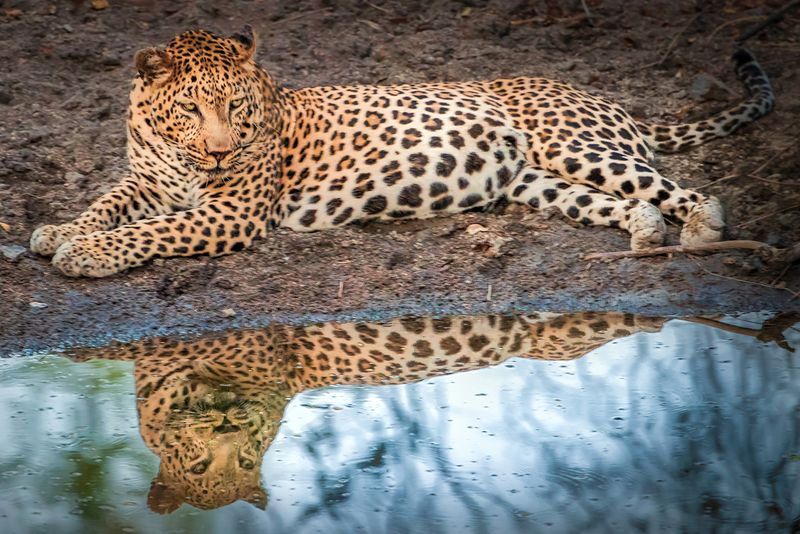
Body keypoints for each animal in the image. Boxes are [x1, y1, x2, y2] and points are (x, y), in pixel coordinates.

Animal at [29, 26, 774, 277]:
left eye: (237, 108)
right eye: (190, 109)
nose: (218, 153)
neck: (179, 156)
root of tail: (604, 97)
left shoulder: (230, 212)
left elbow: (154, 231)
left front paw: (86, 254)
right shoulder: (149, 182)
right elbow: (108, 203)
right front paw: (60, 231)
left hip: (571, 145)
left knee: (680, 189)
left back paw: (703, 230)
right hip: (535, 181)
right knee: (625, 203)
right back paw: (646, 236)